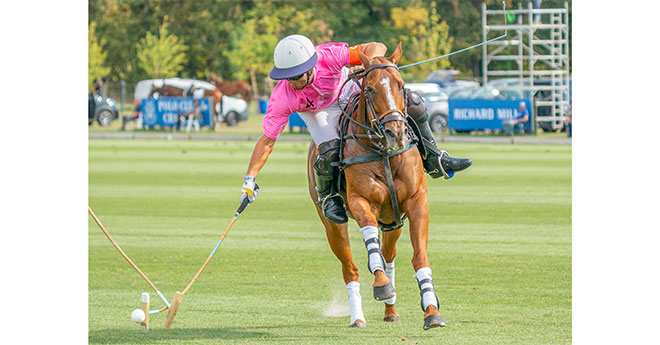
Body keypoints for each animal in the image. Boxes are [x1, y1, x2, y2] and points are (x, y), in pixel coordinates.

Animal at [306, 44, 446, 330]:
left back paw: (391, 310)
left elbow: (419, 257)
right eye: (369, 89)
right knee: (351, 266)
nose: (396, 134)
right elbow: (371, 250)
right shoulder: (362, 201)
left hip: (393, 220)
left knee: (388, 254)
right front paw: (381, 285)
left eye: (401, 85)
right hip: (333, 224)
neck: (383, 152)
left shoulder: (416, 201)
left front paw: (431, 310)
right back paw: (357, 316)